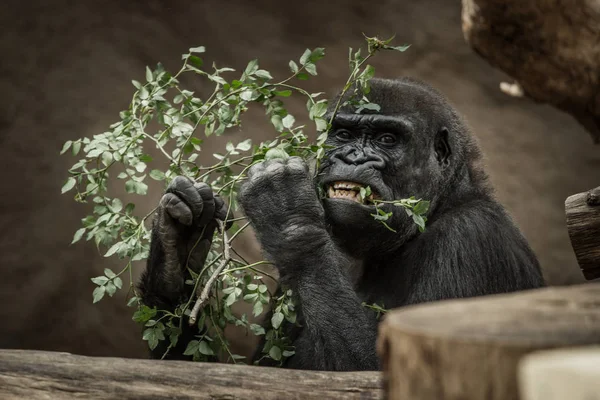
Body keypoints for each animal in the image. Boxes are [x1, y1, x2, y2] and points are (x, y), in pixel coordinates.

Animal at [138, 78, 548, 372]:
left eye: (387, 139)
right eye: (343, 134)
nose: (351, 157)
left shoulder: (470, 239)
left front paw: (288, 212)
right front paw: (176, 249)